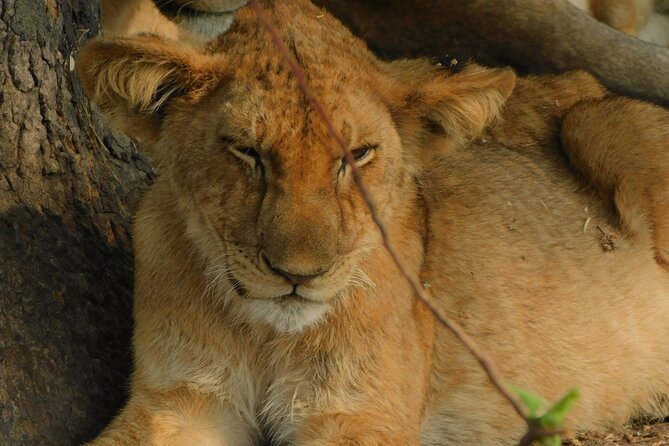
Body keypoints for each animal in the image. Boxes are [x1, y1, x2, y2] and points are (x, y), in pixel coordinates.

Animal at [76, 0, 669, 444]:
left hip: (597, 121)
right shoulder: (180, 400)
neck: (265, 333)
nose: (298, 276)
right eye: (248, 152)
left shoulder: (359, 414)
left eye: (357, 155)